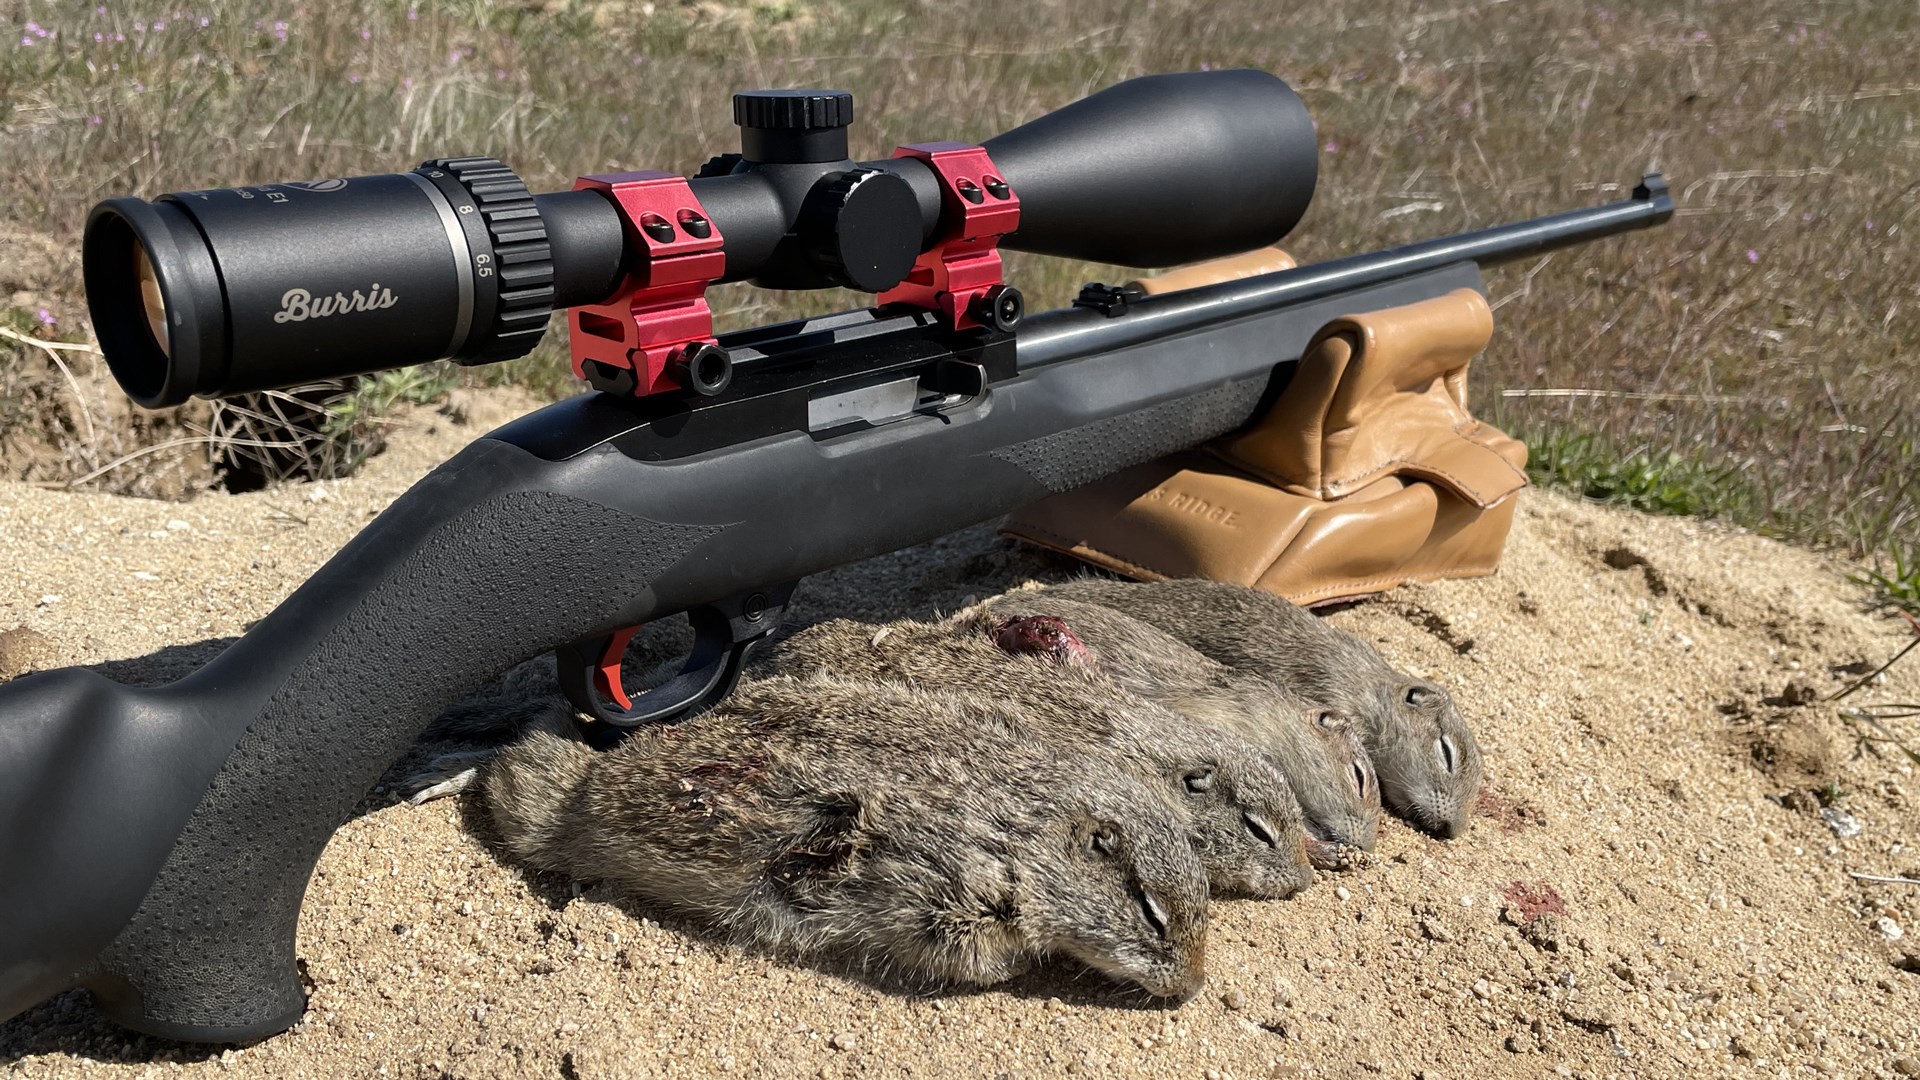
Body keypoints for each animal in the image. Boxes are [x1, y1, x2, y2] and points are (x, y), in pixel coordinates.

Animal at [474, 673, 1212, 999]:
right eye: (1152, 912)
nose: (1193, 987)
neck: (1033, 832)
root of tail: (588, 786)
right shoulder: (943, 902)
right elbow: (986, 960)